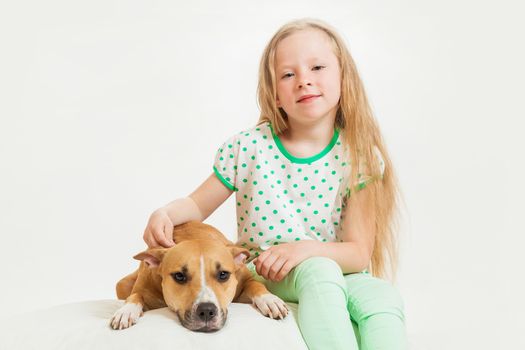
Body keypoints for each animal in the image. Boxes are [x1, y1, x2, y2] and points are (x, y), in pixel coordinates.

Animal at [109, 221, 286, 330]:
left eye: (223, 274)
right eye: (179, 276)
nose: (207, 311)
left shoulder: (244, 281)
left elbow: (255, 284)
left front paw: (270, 300)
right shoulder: (143, 288)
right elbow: (135, 295)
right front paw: (126, 310)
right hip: (122, 283)